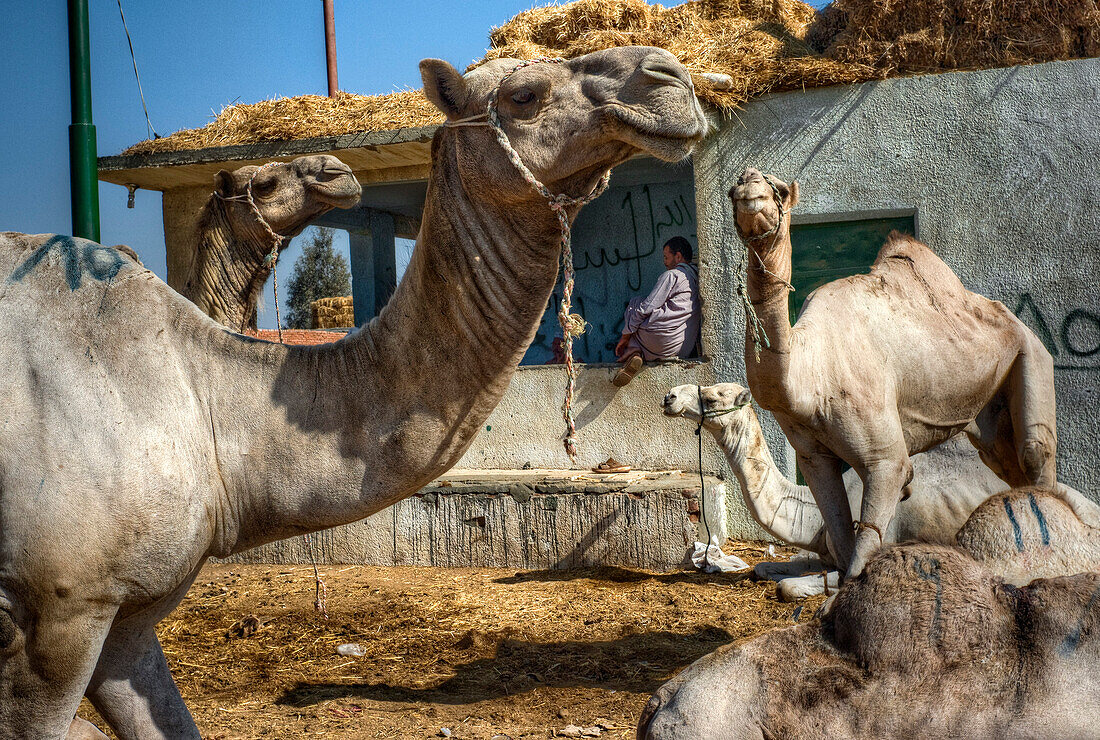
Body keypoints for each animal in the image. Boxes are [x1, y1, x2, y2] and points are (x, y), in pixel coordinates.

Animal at [726, 167, 1095, 576]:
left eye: (777, 188)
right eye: (732, 187)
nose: (749, 184)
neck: (810, 372)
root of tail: (1018, 322)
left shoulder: (884, 458)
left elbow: (864, 548)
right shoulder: (812, 455)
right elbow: (840, 538)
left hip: (1032, 353)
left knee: (1035, 453)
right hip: (990, 412)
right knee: (1004, 460)